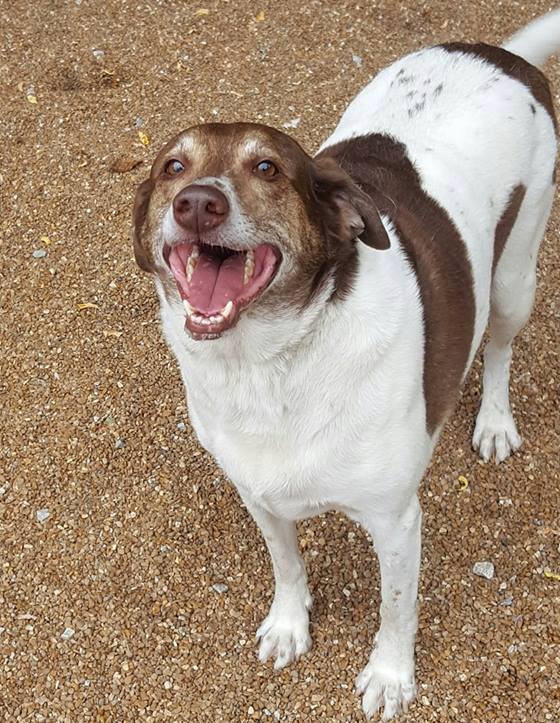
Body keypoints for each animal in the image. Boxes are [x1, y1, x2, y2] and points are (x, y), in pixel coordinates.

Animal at [132, 9, 560, 720]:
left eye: (268, 167)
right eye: (172, 164)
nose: (195, 202)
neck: (271, 364)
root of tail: (500, 55)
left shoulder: (396, 522)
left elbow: (396, 611)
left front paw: (390, 677)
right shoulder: (258, 495)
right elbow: (286, 565)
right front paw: (289, 626)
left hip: (513, 278)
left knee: (499, 347)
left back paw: (495, 422)